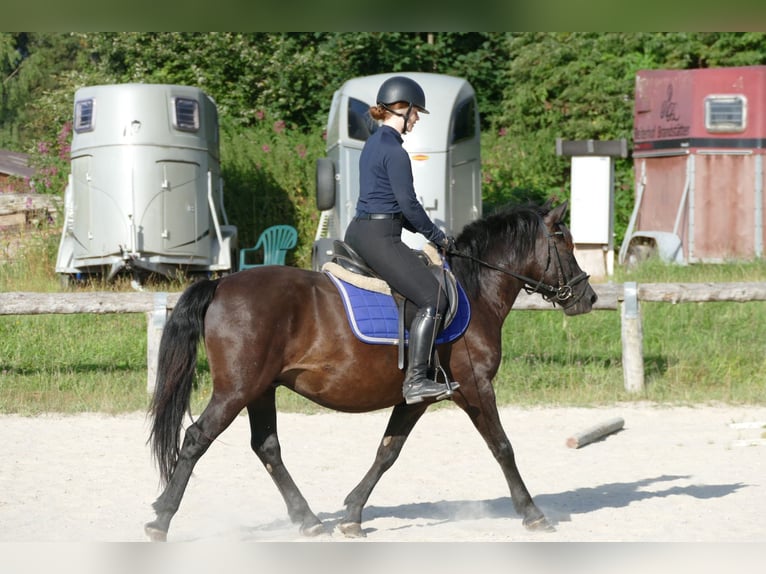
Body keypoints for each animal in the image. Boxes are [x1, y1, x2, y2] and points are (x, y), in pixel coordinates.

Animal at [146, 200, 600, 544]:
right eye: (564, 240)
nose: (588, 297)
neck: (475, 291)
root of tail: (221, 285)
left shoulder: (417, 397)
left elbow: (388, 452)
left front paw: (352, 515)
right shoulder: (475, 387)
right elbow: (503, 447)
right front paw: (533, 513)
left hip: (260, 389)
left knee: (267, 447)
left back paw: (309, 520)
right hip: (237, 389)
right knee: (197, 438)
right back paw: (161, 519)